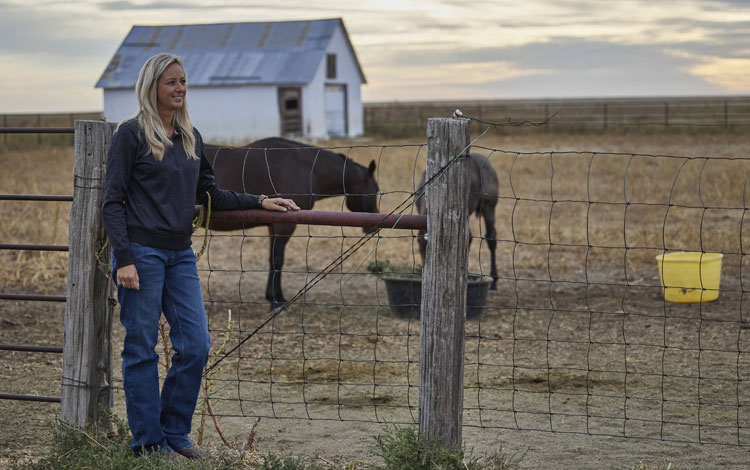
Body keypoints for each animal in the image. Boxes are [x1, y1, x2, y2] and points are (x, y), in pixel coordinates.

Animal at [206, 138, 378, 310]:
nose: (374, 227)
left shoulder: (273, 226)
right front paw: (276, 301)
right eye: (376, 190)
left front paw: (275, 297)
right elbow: (277, 259)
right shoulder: (284, 226)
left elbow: (274, 259)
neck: (307, 168)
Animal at [418, 152, 500, 288]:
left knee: (491, 238)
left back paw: (494, 282)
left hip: (489, 208)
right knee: (470, 237)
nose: (425, 273)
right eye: (420, 250)